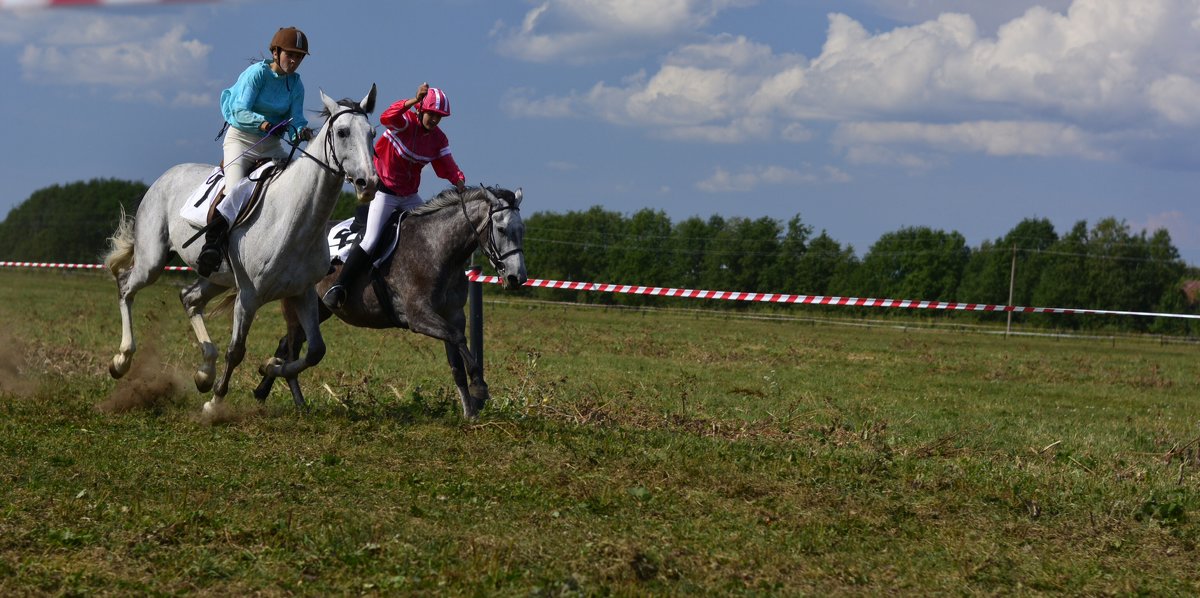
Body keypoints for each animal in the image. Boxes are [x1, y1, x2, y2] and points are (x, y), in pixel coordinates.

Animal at [109, 85, 379, 415]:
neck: (294, 219)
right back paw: (122, 360)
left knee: (189, 299)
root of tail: (165, 177)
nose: (369, 183)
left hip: (215, 276)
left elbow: (316, 350)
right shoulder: (249, 296)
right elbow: (236, 350)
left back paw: (204, 373)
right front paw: (214, 405)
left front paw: (270, 367)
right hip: (153, 261)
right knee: (126, 287)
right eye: (342, 132)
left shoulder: (302, 293)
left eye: (372, 133)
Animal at [253, 184, 525, 417]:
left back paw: (263, 387)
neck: (437, 248)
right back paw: (295, 399)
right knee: (292, 349)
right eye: (501, 229)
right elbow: (458, 339)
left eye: (522, 230)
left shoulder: (453, 315)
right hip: (295, 307)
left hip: (319, 311)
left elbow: (456, 361)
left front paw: (469, 412)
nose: (517, 277)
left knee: (287, 344)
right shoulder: (419, 316)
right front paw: (480, 386)